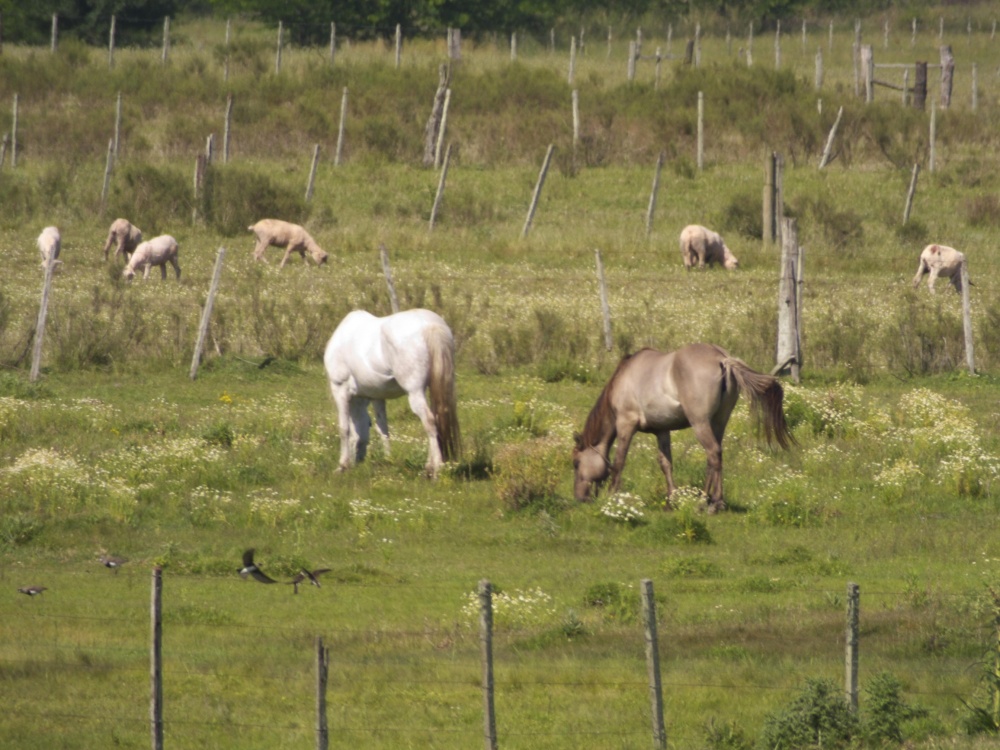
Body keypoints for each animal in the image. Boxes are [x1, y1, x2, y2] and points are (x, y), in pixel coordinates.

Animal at [324, 308, 460, 478]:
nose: (358, 461)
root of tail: (429, 325)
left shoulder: (340, 389)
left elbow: (345, 429)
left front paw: (342, 465)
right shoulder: (375, 396)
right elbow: (381, 428)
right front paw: (388, 460)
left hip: (415, 392)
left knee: (428, 421)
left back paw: (435, 469)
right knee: (436, 419)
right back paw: (430, 466)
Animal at [576, 346, 792, 512]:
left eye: (576, 463)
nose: (579, 498)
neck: (625, 377)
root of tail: (722, 358)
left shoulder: (625, 424)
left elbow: (619, 461)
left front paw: (611, 496)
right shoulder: (662, 430)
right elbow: (666, 463)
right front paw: (671, 500)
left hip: (700, 423)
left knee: (713, 453)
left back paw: (710, 503)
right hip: (718, 423)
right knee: (714, 458)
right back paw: (710, 500)